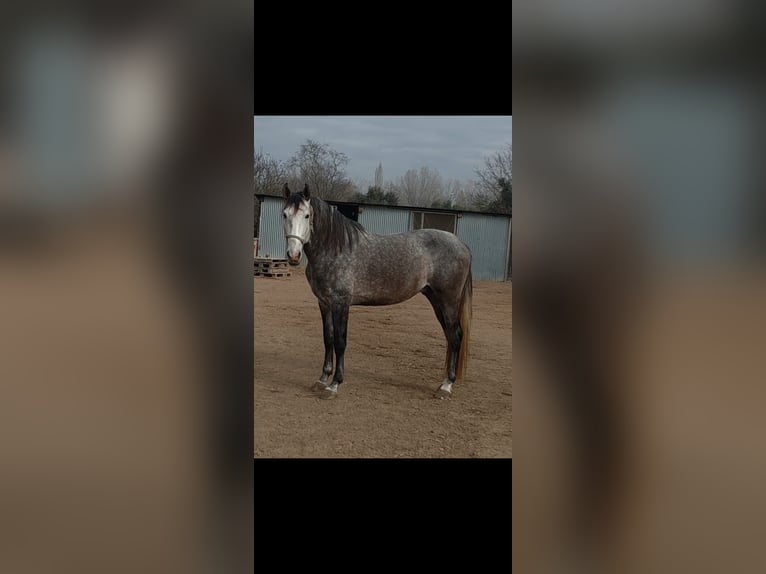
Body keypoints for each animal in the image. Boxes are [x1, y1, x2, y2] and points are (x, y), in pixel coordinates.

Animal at [281, 183, 473, 400]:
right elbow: (328, 338)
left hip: (449, 301)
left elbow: (340, 341)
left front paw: (334, 384)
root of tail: (461, 244)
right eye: (285, 214)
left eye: (306, 216)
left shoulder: (341, 303)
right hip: (436, 300)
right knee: (451, 336)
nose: (293, 255)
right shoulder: (324, 303)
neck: (334, 249)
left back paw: (446, 386)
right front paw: (322, 379)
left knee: (455, 337)